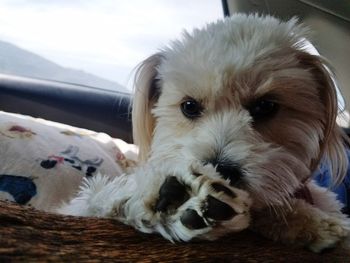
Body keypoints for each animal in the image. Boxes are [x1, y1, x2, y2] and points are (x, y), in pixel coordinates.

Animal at [58, 14, 350, 254]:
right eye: (189, 106)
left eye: (266, 106)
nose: (222, 170)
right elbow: (96, 201)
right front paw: (161, 198)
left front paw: (312, 223)